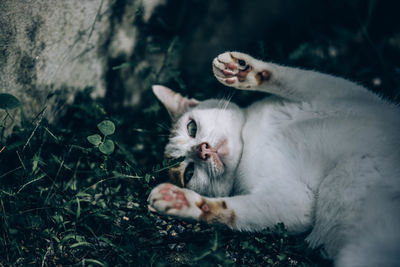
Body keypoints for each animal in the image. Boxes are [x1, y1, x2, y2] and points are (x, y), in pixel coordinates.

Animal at [148, 51, 400, 266]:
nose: (202, 150)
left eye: (191, 127)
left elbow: (297, 78)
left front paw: (241, 71)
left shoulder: (343, 94)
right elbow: (234, 211)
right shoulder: (296, 200)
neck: (251, 138)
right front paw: (183, 201)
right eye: (189, 173)